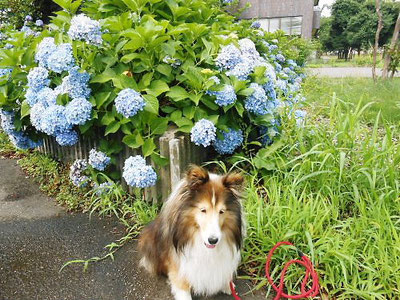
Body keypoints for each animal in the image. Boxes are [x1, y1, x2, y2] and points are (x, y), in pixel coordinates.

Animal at [138, 165, 245, 298]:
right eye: (203, 210)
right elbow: (181, 282)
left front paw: (227, 285)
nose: (213, 240)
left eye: (222, 211)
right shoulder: (177, 261)